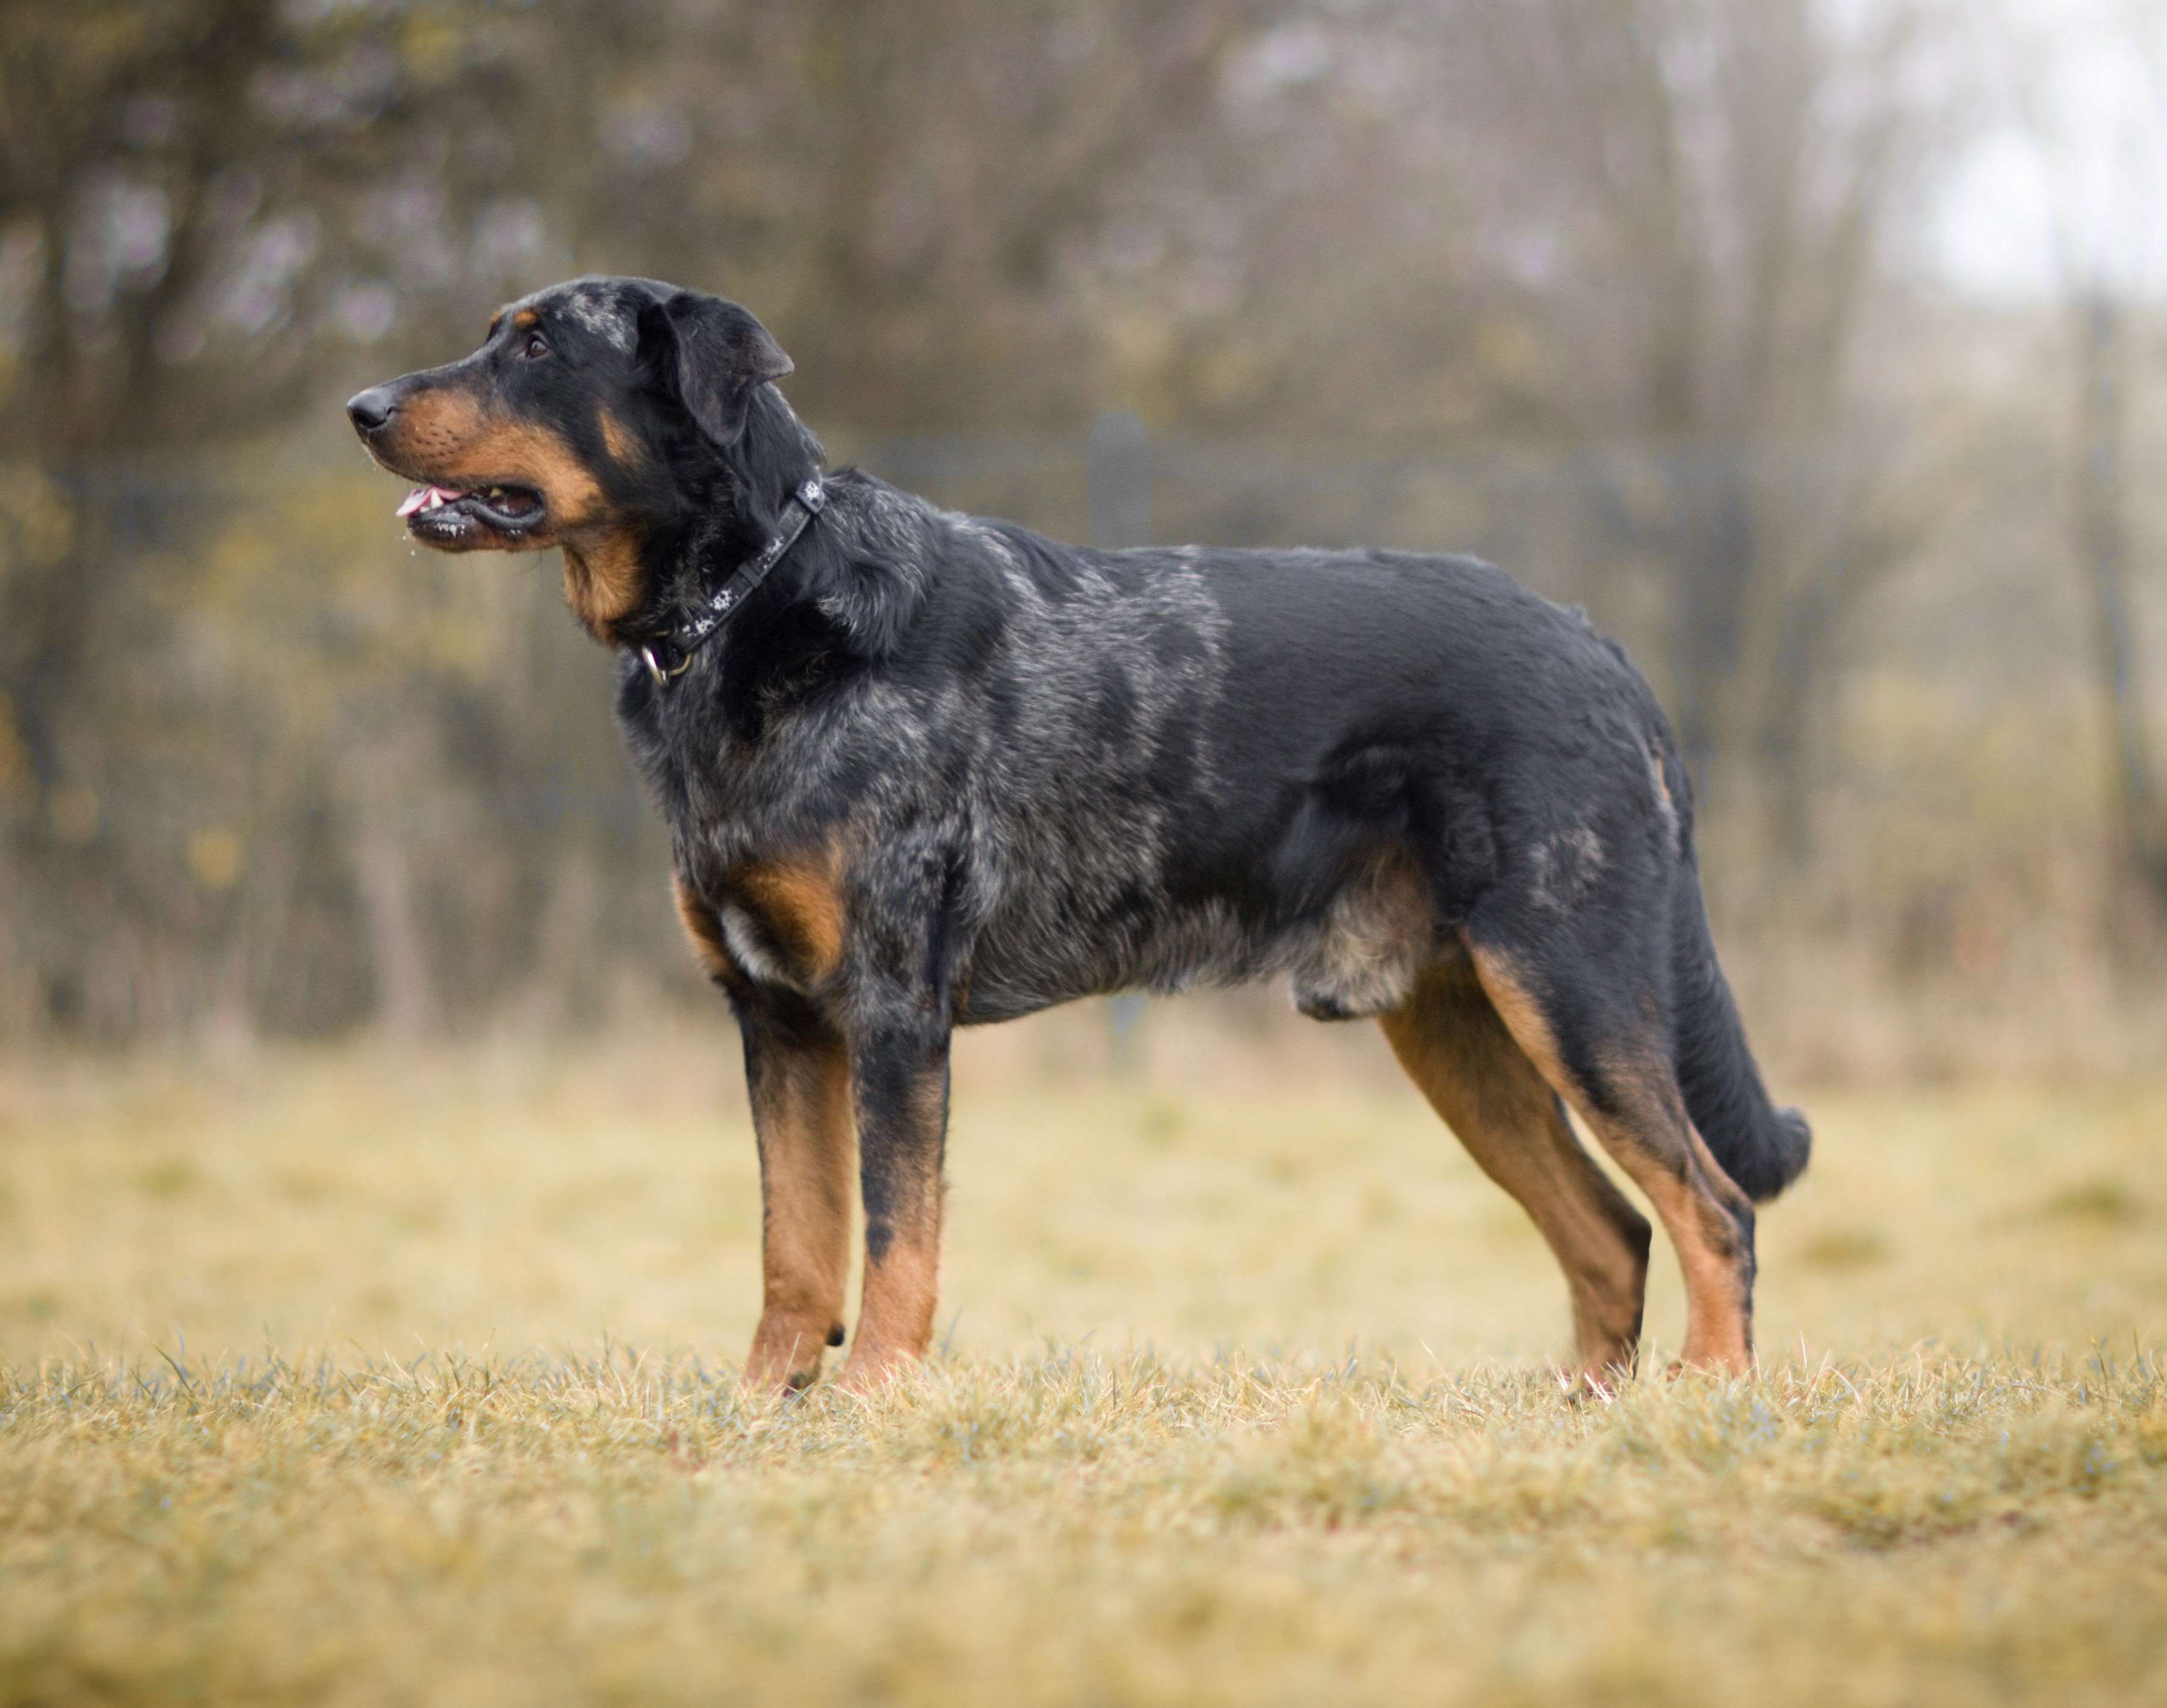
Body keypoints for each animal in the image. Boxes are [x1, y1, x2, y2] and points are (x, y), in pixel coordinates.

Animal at [351, 270, 1811, 1387]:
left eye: (539, 344)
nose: (360, 408)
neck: (752, 606)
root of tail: (1602, 650)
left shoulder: (892, 1004)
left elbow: (893, 1236)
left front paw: (876, 1401)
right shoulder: (775, 1015)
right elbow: (793, 1246)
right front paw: (764, 1408)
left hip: (1568, 981)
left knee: (1714, 1208)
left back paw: (1707, 1396)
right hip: (1457, 1026)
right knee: (1612, 1233)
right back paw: (1586, 1414)